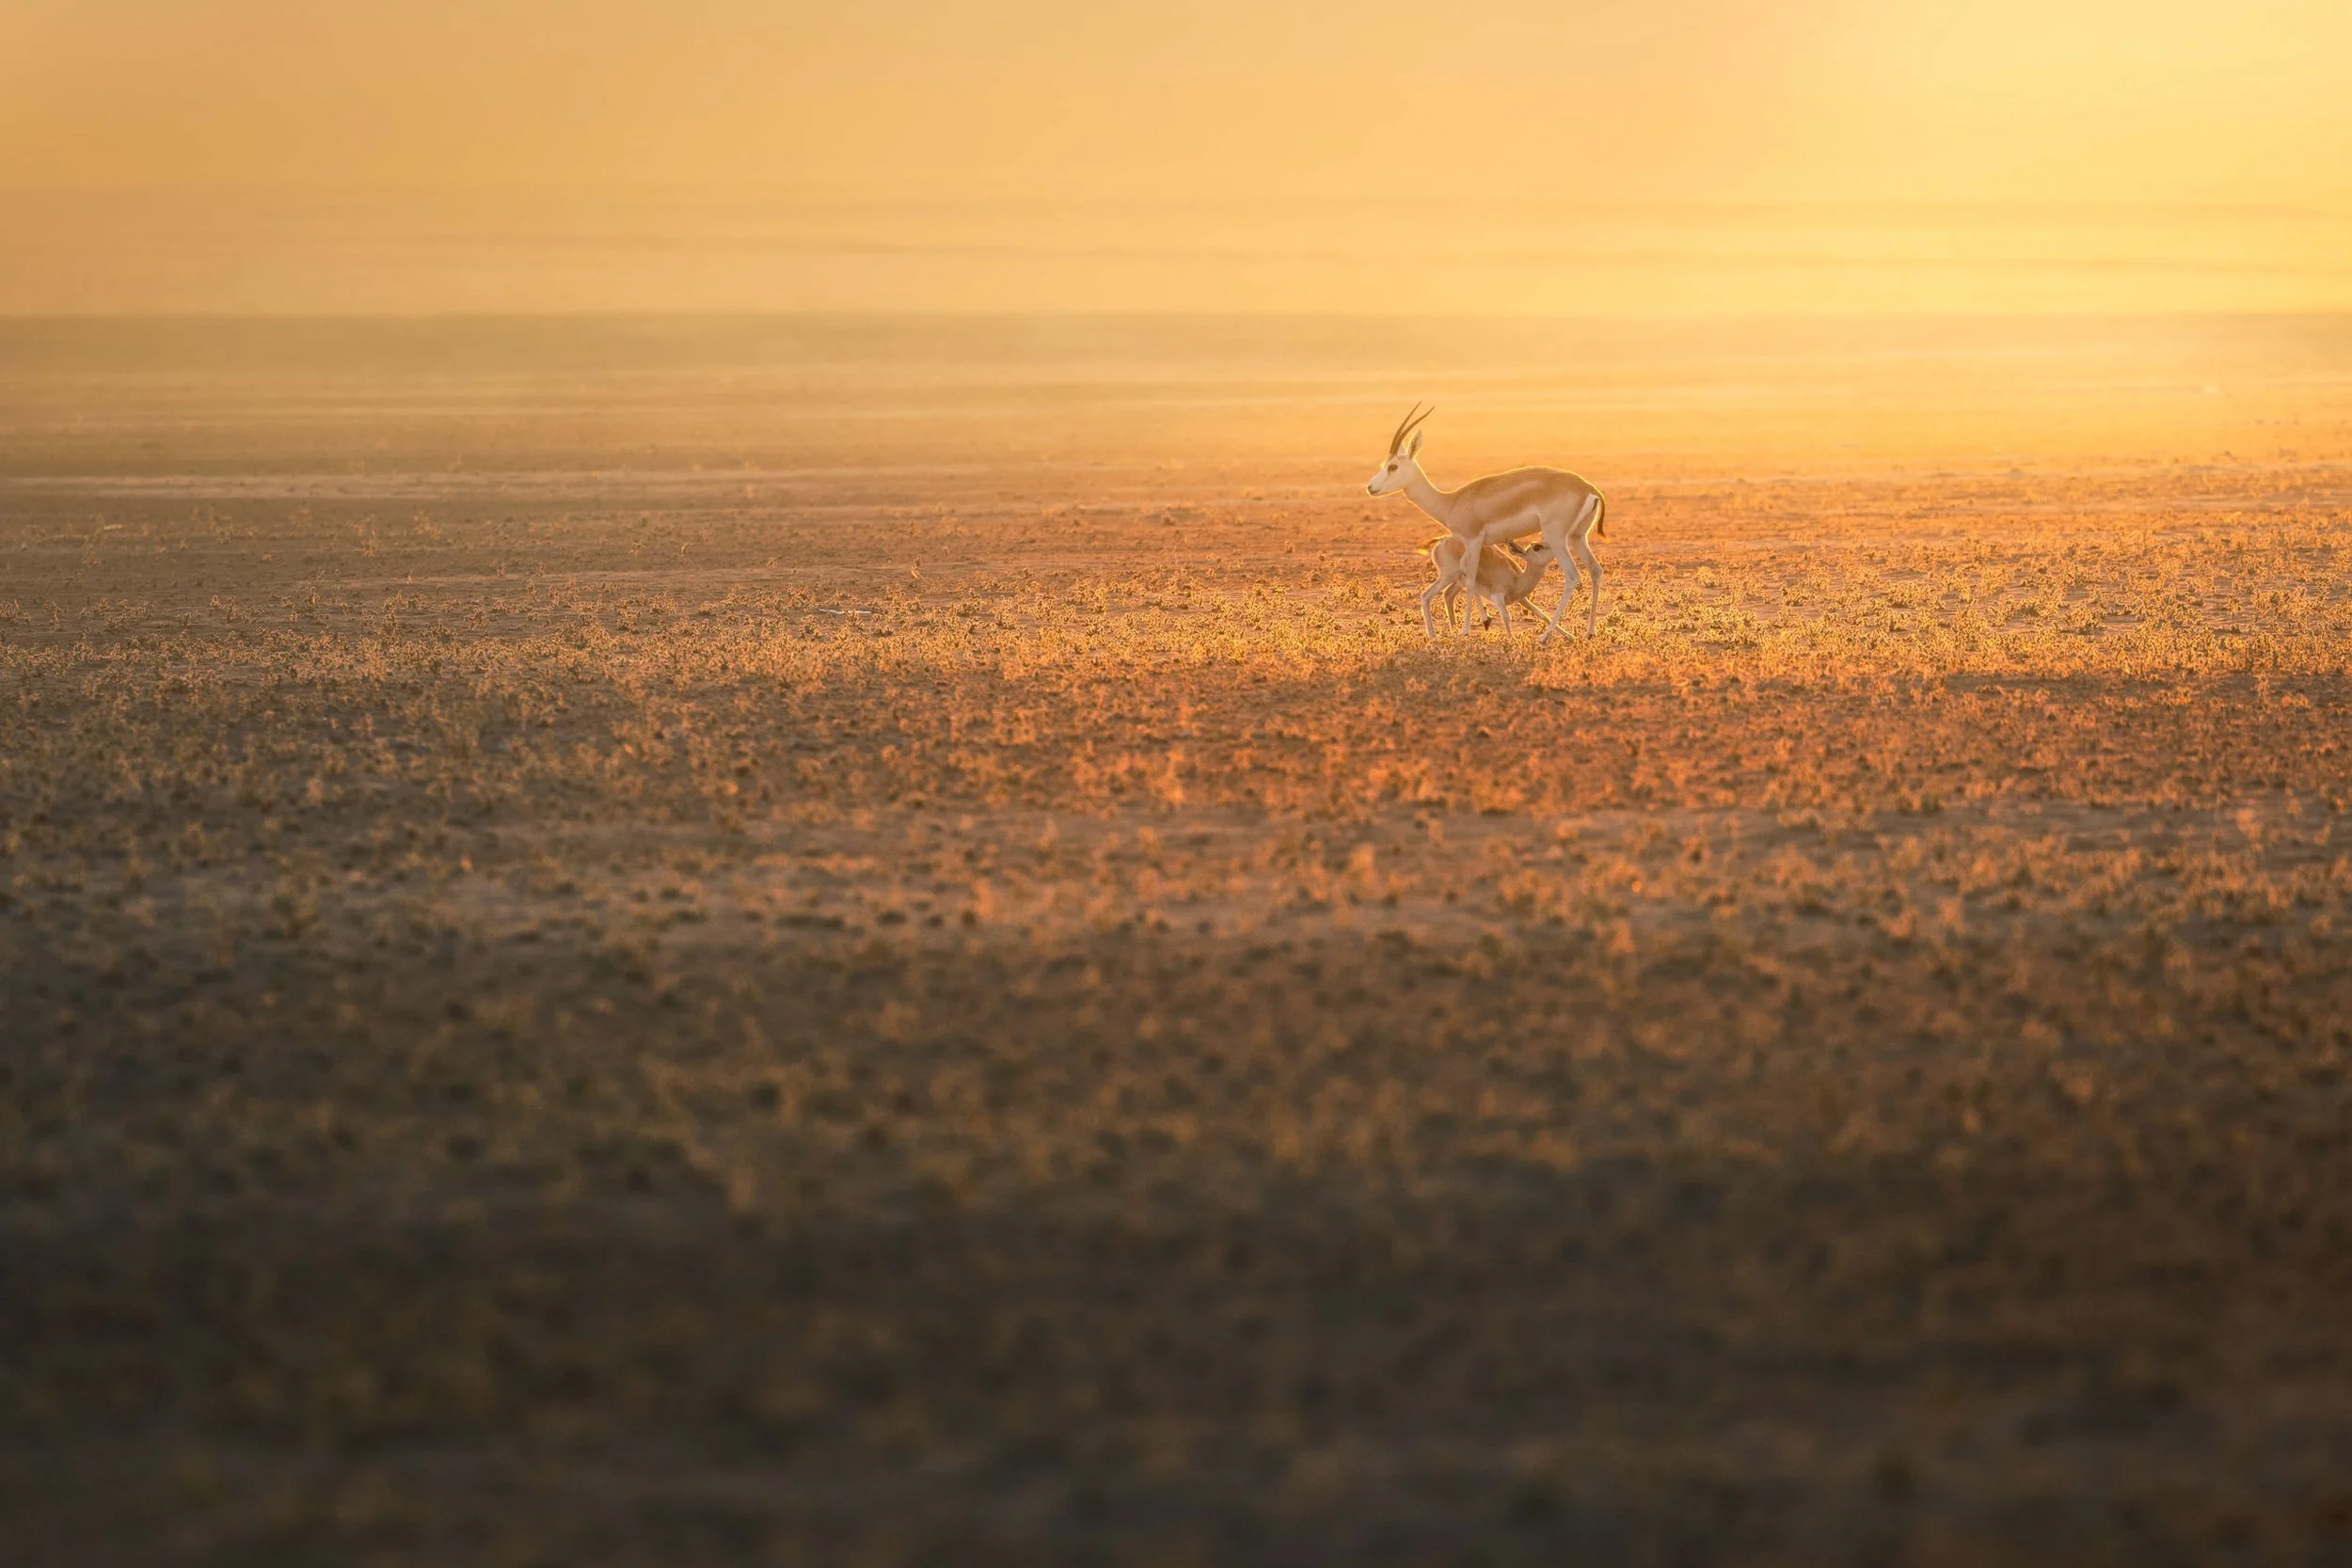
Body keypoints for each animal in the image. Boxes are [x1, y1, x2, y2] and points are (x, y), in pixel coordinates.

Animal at [1419, 537, 1560, 638]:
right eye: (1537, 547)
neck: (1516, 579)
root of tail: (1441, 542)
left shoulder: (1521, 599)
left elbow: (1541, 614)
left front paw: (1565, 636)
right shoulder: (1497, 597)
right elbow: (1506, 615)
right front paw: (1512, 639)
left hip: (1458, 581)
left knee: (1448, 594)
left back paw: (1455, 630)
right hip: (1448, 576)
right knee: (1426, 596)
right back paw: (1433, 635)